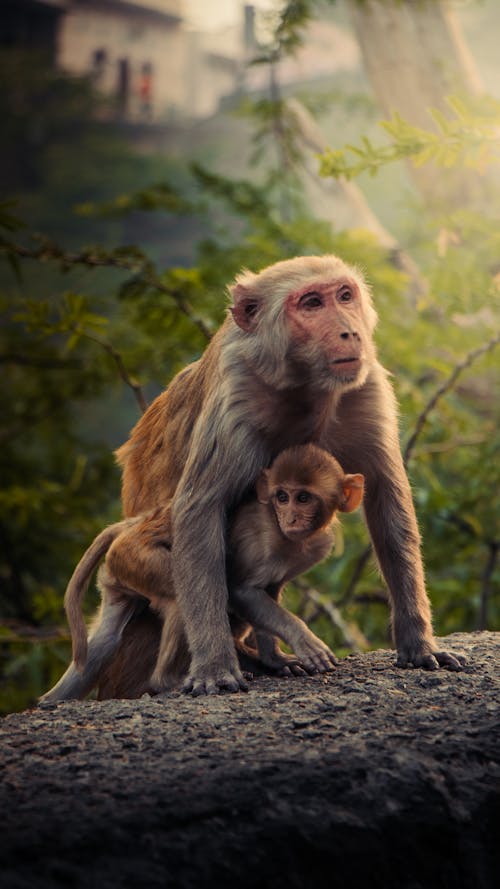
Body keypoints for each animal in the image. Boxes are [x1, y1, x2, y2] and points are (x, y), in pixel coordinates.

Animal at [42, 444, 364, 700]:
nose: (291, 518)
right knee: (181, 597)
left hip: (120, 572)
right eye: (282, 497)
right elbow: (240, 590)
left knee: (105, 639)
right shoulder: (261, 537)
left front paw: (274, 659)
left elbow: (269, 592)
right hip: (139, 558)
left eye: (304, 498)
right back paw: (168, 681)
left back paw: (51, 700)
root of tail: (128, 529)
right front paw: (303, 640)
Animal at [109, 251, 460, 692]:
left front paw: (418, 643)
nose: (350, 332)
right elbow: (200, 511)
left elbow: (386, 500)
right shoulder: (236, 396)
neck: (305, 383)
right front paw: (214, 666)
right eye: (311, 303)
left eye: (345, 295)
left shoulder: (367, 386)